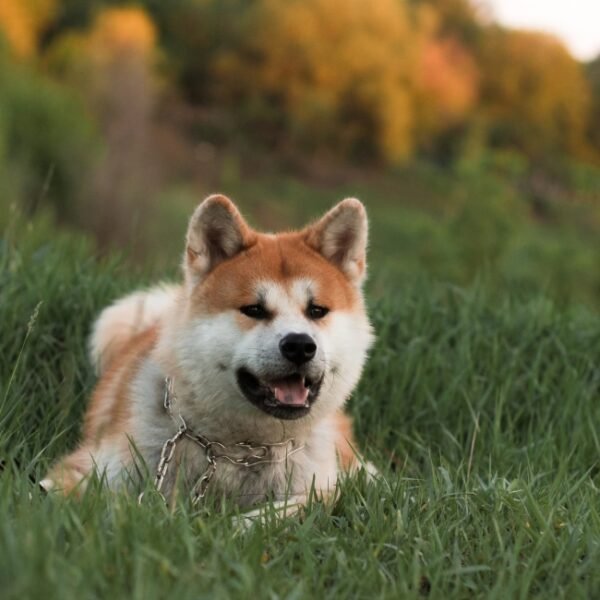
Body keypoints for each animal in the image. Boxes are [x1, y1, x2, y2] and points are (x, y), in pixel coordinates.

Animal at [43, 195, 376, 512]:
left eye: (316, 310)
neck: (239, 449)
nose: (299, 345)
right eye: (253, 310)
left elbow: (278, 514)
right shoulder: (82, 470)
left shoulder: (321, 487)